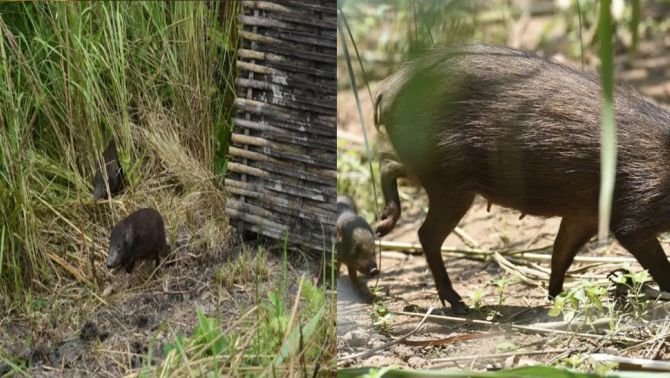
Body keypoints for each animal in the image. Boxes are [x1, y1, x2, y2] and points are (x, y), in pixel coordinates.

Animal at [376, 42, 670, 314]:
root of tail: (386, 89)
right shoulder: (634, 213)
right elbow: (658, 263)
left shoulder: (585, 214)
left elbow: (560, 252)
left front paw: (558, 298)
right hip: (450, 184)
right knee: (426, 234)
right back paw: (457, 303)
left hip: (432, 172)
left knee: (389, 165)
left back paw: (383, 224)